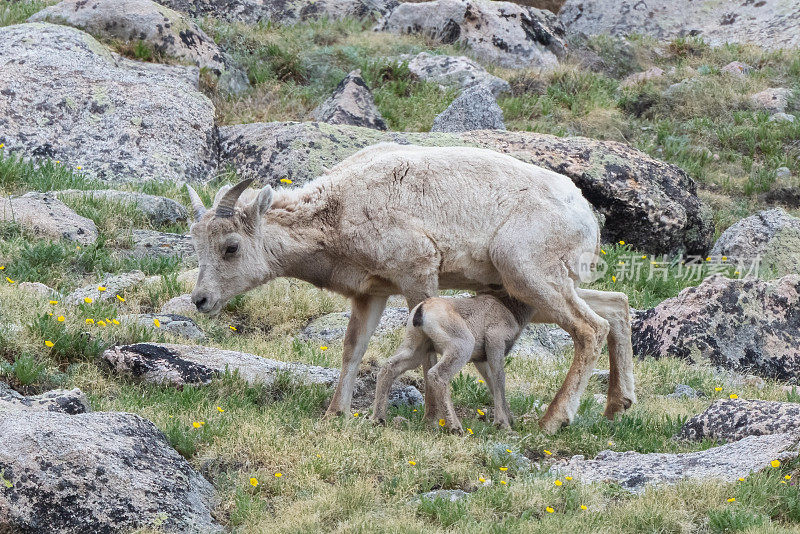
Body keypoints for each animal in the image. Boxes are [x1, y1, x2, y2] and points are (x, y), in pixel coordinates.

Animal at [374, 294, 536, 432]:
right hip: (461, 347)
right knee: (437, 375)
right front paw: (504, 425)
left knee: (389, 367)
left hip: (415, 350)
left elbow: (492, 384)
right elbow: (499, 380)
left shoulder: (481, 360)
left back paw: (379, 419)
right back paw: (456, 428)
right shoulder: (495, 345)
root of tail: (422, 309)